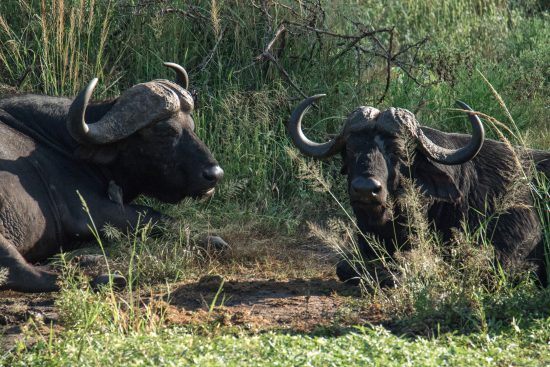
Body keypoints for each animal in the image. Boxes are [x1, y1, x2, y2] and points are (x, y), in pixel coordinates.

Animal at [0, 63, 224, 294]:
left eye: (191, 125)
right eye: (166, 131)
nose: (215, 174)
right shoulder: (90, 212)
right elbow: (154, 215)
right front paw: (210, 238)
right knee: (21, 271)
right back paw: (103, 277)